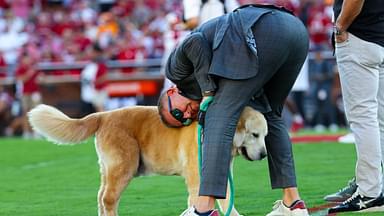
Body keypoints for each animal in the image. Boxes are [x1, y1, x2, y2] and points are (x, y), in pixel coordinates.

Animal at [27, 104, 268, 216]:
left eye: (265, 136)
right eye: (255, 135)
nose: (265, 154)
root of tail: (103, 115)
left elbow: (227, 201)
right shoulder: (196, 177)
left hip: (108, 170)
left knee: (100, 197)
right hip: (123, 167)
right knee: (108, 199)